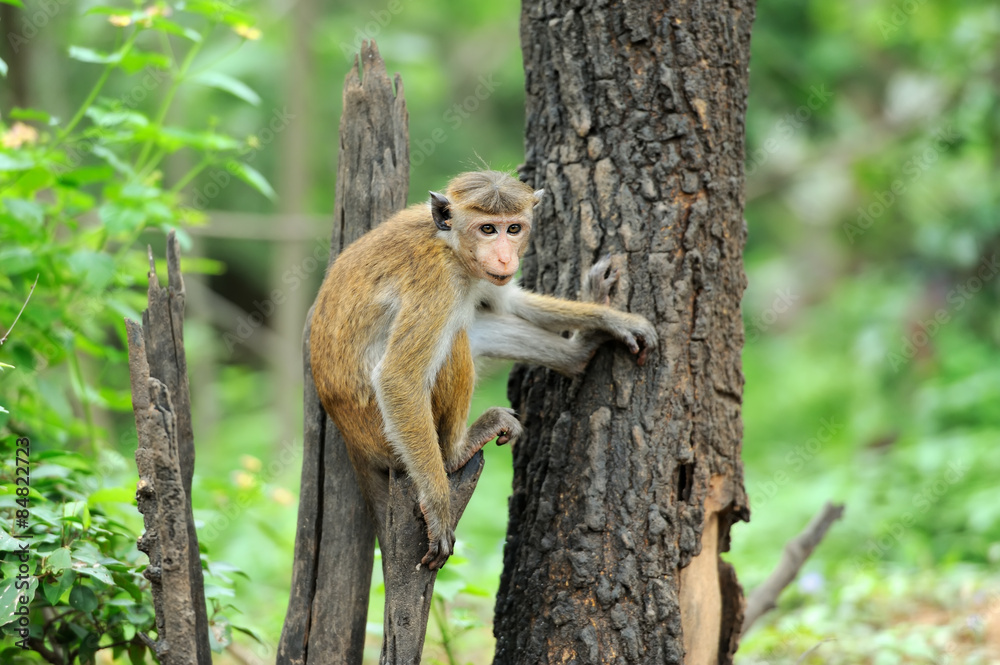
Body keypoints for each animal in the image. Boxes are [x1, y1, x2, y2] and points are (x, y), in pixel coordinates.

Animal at [310, 169, 656, 568]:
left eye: (514, 228)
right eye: (487, 229)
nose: (505, 258)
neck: (449, 244)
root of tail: (352, 440)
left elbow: (510, 302)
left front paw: (610, 318)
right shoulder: (439, 281)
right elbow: (399, 378)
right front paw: (438, 509)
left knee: (474, 325)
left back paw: (577, 354)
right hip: (384, 437)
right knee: (455, 339)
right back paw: (458, 451)